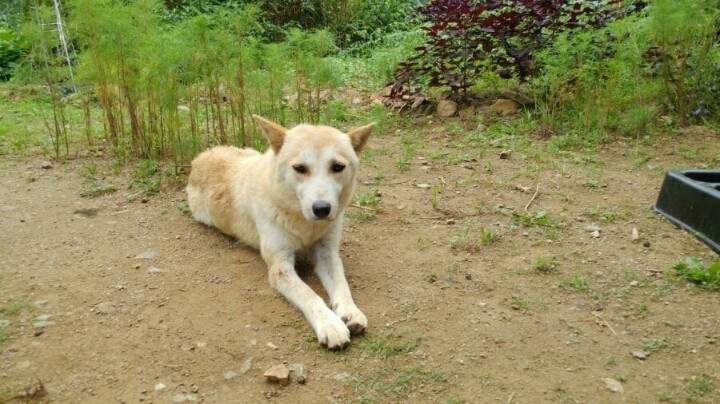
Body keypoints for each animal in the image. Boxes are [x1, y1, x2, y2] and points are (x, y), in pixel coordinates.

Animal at [186, 114, 374, 350]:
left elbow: (342, 284)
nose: (322, 209)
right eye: (300, 168)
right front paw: (330, 325)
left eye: (338, 167)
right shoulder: (280, 267)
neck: (304, 224)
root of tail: (201, 156)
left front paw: (350, 312)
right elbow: (310, 295)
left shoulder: (327, 253)